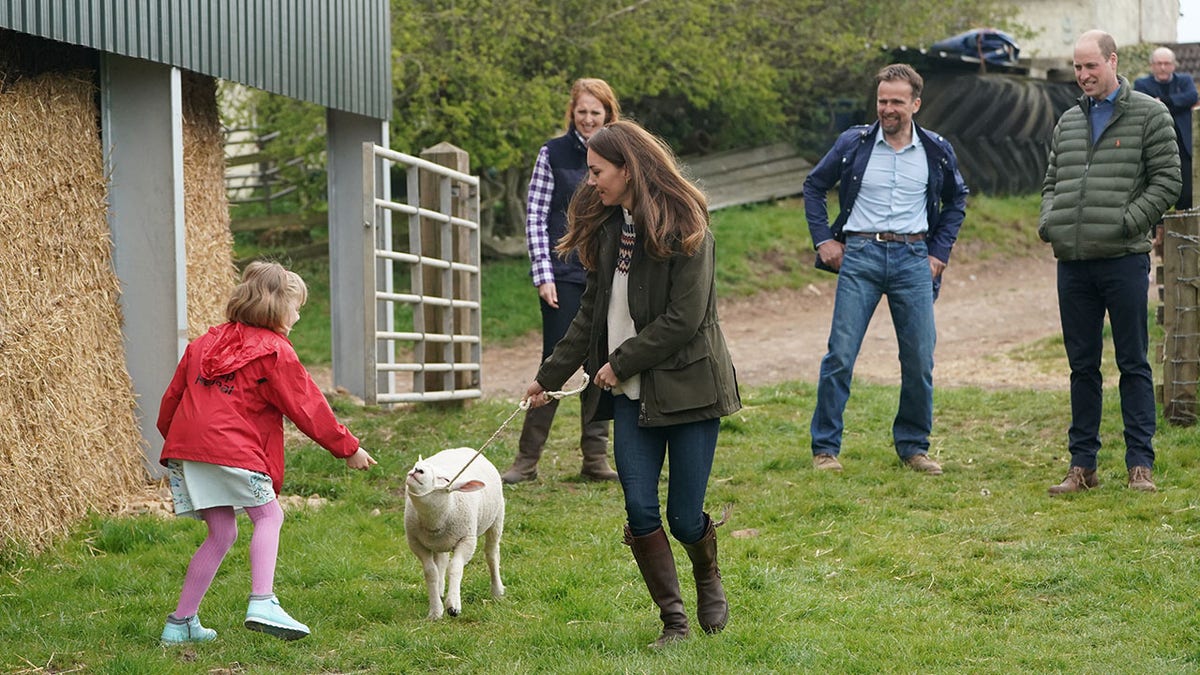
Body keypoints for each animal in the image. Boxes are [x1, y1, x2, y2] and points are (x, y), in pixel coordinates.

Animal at [398, 444, 501, 619]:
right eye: (416, 465)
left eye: (446, 480)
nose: (417, 470)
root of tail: (464, 448)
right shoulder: (416, 543)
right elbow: (431, 572)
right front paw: (435, 611)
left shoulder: (467, 540)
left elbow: (455, 567)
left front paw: (453, 605)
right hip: (440, 542)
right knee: (442, 560)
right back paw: (440, 591)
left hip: (497, 518)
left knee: (491, 554)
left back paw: (497, 591)